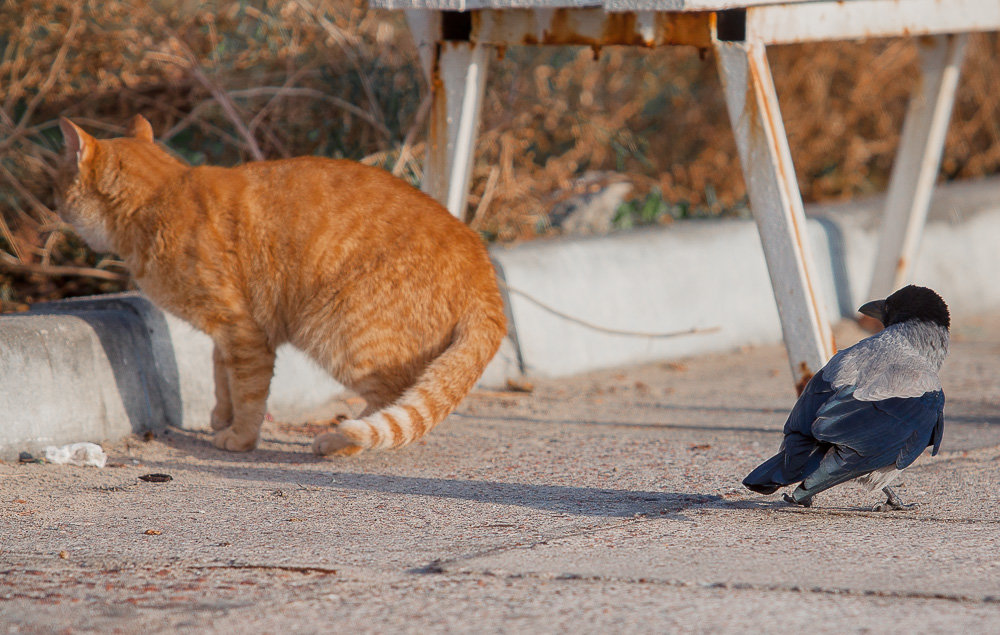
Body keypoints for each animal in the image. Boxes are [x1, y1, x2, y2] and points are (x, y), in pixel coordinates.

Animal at [58, 115, 504, 458]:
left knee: (388, 402)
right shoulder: (226, 333)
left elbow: (249, 394)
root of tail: (482, 262)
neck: (157, 199)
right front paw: (220, 417)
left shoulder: (244, 331)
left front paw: (239, 438)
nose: (57, 207)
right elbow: (221, 377)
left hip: (339, 332)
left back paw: (336, 442)